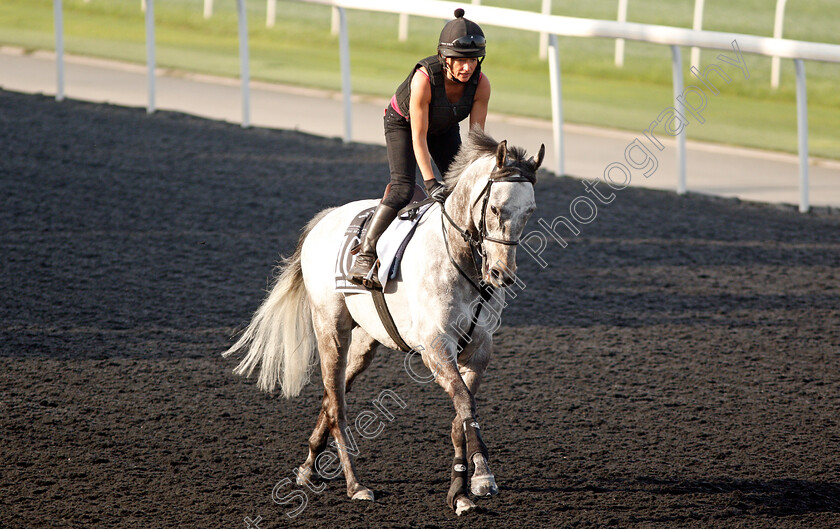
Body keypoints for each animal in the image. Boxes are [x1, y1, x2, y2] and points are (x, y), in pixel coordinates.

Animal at [223, 126, 540, 512]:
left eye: (529, 212)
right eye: (495, 208)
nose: (501, 274)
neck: (461, 258)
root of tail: (325, 218)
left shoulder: (479, 350)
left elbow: (461, 415)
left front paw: (464, 487)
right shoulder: (436, 348)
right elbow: (464, 404)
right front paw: (479, 477)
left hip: (365, 342)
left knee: (331, 396)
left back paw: (308, 467)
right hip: (331, 330)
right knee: (337, 405)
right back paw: (354, 484)